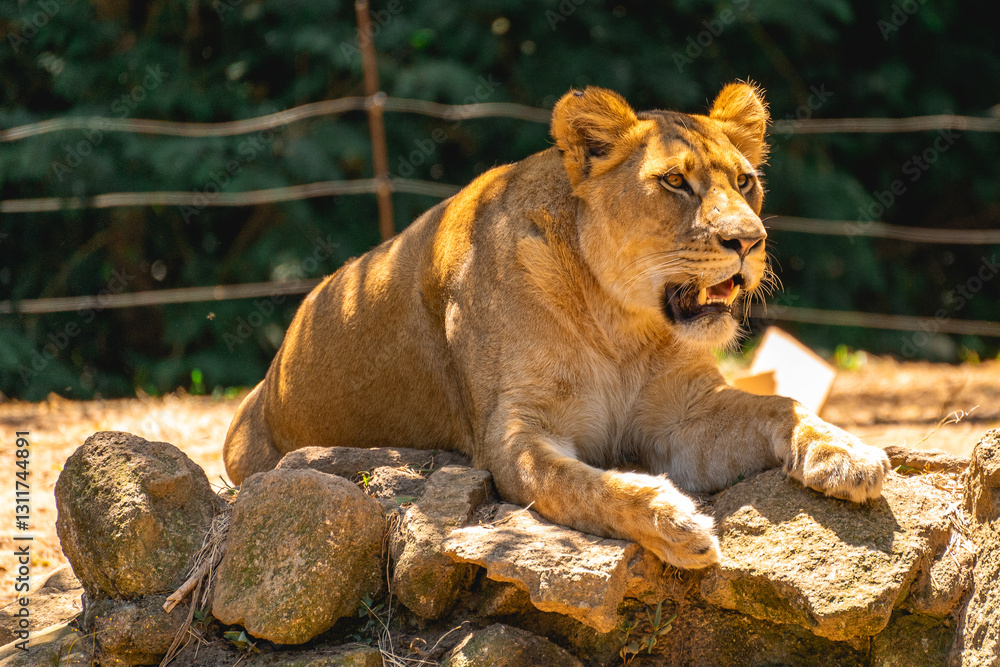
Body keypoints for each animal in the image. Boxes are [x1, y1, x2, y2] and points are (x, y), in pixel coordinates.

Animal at [223, 82, 891, 569]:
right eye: (675, 181)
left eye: (745, 181)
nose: (749, 241)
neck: (624, 329)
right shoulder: (514, 434)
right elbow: (585, 484)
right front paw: (676, 524)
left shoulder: (682, 416)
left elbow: (782, 405)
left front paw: (847, 453)